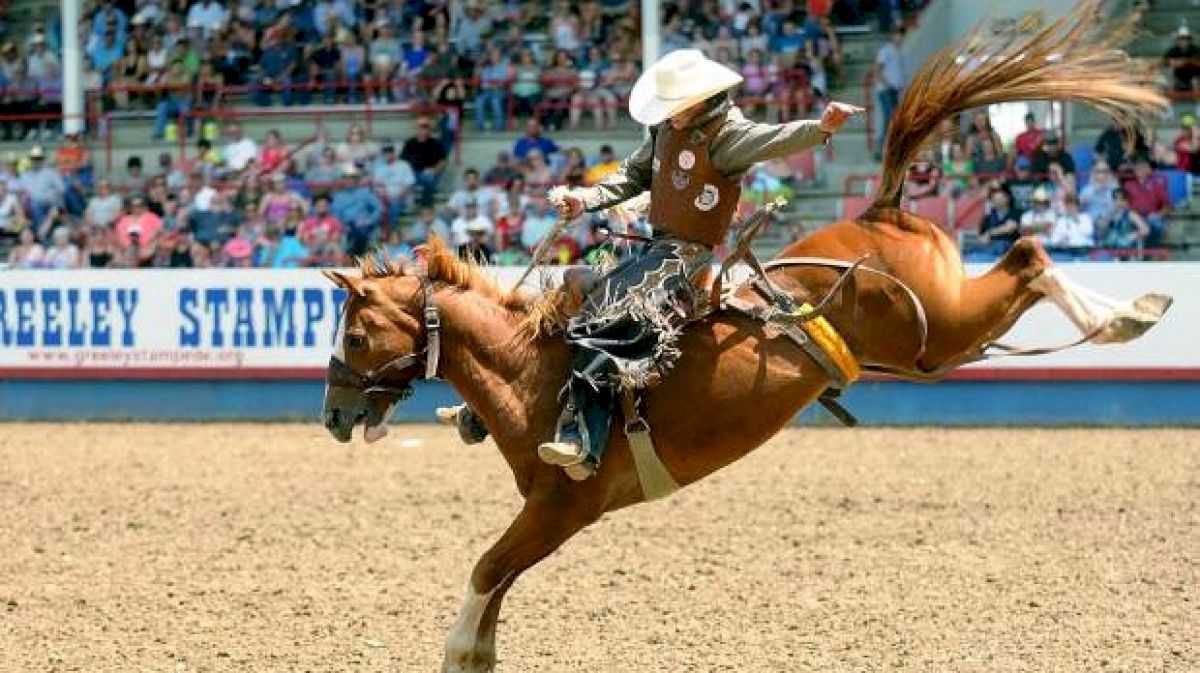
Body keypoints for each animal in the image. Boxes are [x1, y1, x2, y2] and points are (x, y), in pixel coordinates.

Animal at [324, 3, 1166, 667]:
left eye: (357, 337)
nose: (333, 416)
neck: (532, 369)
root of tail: (881, 211)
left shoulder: (560, 507)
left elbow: (483, 572)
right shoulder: (544, 513)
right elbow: (493, 590)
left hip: (935, 334)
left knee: (1028, 255)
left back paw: (1127, 315)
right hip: (929, 342)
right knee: (1025, 260)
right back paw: (1134, 311)